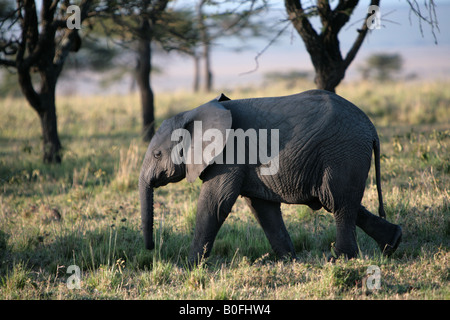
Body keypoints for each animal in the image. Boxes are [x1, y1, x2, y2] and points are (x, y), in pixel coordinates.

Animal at [139, 89, 402, 262]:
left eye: (157, 154)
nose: (150, 248)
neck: (194, 112)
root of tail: (371, 128)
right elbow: (262, 209)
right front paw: (289, 261)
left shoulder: (229, 155)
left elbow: (215, 204)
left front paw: (188, 265)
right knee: (342, 201)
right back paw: (392, 244)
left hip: (343, 153)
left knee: (338, 202)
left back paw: (341, 259)